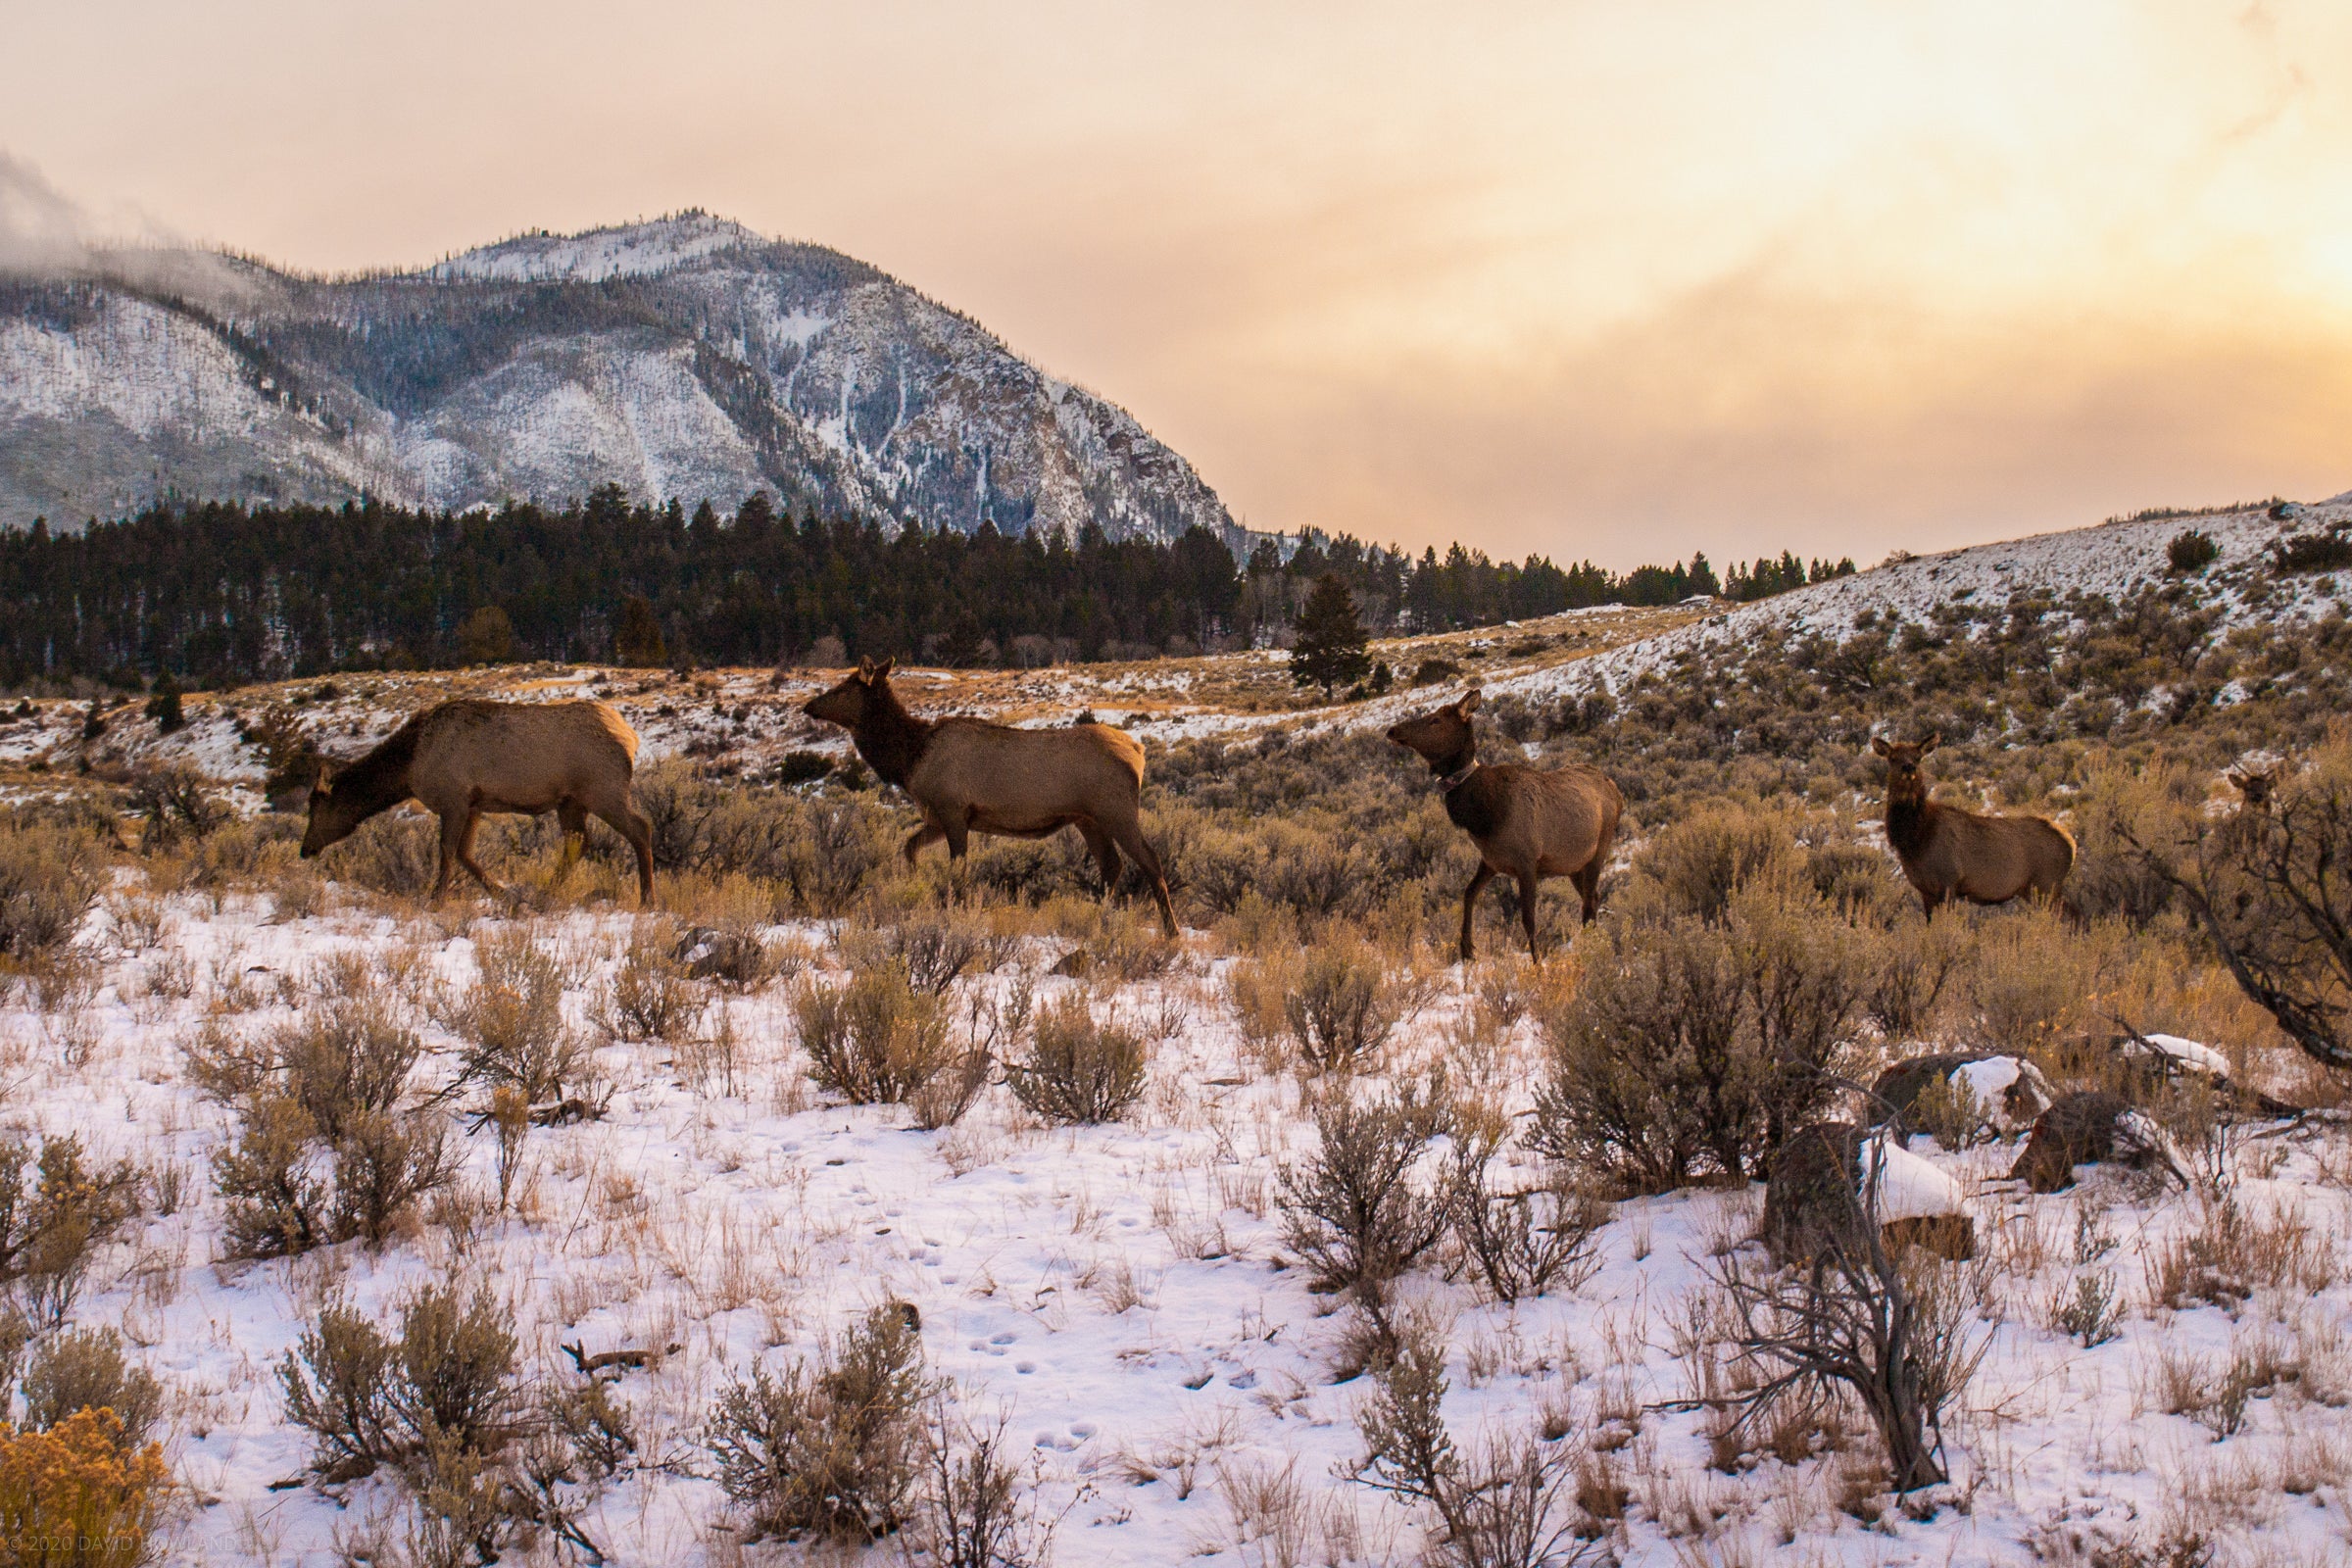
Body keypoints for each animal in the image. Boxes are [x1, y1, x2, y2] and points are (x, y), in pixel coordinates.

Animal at [301, 700, 662, 906]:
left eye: (316, 811)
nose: (305, 849)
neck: (410, 766)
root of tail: (631, 737)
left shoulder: (454, 799)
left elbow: (447, 851)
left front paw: (436, 899)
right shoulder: (474, 803)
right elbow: (465, 853)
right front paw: (504, 893)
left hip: (603, 790)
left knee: (640, 828)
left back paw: (647, 900)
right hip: (571, 802)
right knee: (578, 842)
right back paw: (547, 890)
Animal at [804, 658, 1176, 940]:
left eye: (844, 686)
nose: (809, 706)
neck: (909, 760)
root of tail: (1139, 751)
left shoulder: (953, 810)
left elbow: (958, 870)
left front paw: (955, 910)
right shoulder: (938, 817)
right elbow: (908, 848)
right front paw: (914, 884)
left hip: (1117, 810)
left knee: (1150, 859)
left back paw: (1171, 931)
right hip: (1088, 818)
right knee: (1112, 865)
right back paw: (1099, 920)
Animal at [1373, 691, 1618, 963]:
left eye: (1435, 720)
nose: (1393, 730)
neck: (1485, 817)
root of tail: (1616, 789)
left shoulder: (1527, 861)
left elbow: (1529, 919)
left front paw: (1537, 963)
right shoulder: (1491, 860)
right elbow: (1468, 893)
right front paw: (1467, 949)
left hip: (1599, 849)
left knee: (1589, 901)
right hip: (1572, 864)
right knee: (1593, 897)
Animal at [1872, 738, 2079, 921]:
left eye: (1917, 757)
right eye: (1892, 758)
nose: (1909, 768)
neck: (1916, 839)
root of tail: (2072, 844)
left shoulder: (1949, 880)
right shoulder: (1925, 889)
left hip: (2047, 884)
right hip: (2033, 889)